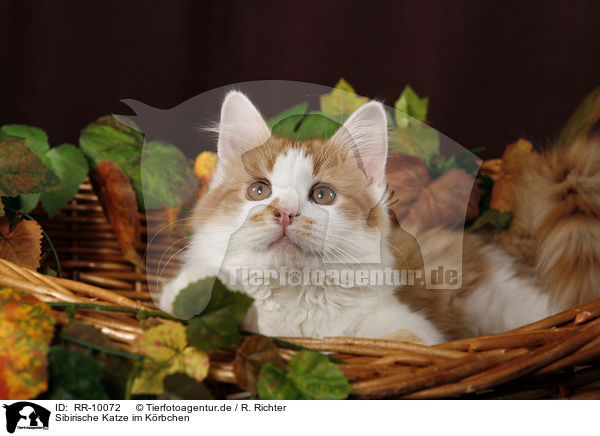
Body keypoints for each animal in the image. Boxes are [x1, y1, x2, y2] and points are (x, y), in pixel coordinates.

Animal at [158, 91, 600, 344]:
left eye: (322, 195)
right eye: (259, 191)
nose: (285, 212)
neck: (293, 297)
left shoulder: (407, 327)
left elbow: (403, 343)